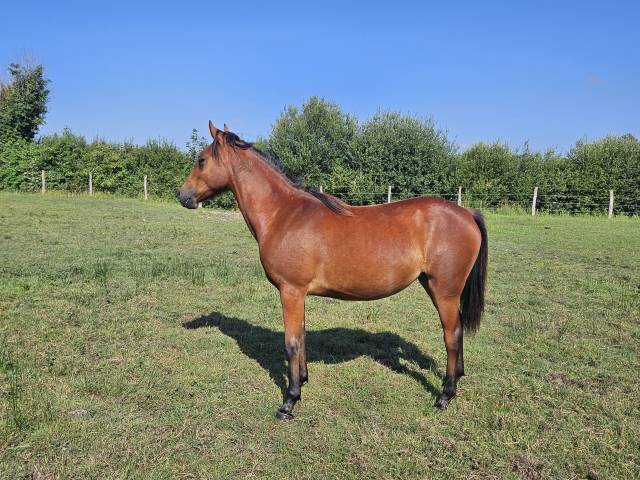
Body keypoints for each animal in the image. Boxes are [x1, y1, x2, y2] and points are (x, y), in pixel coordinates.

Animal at [177, 121, 488, 420]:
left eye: (201, 160)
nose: (182, 196)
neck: (283, 214)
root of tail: (466, 213)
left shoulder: (290, 291)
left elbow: (291, 342)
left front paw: (289, 402)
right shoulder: (299, 294)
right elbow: (302, 336)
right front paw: (302, 380)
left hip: (444, 290)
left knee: (451, 335)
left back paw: (445, 395)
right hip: (434, 286)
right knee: (457, 328)